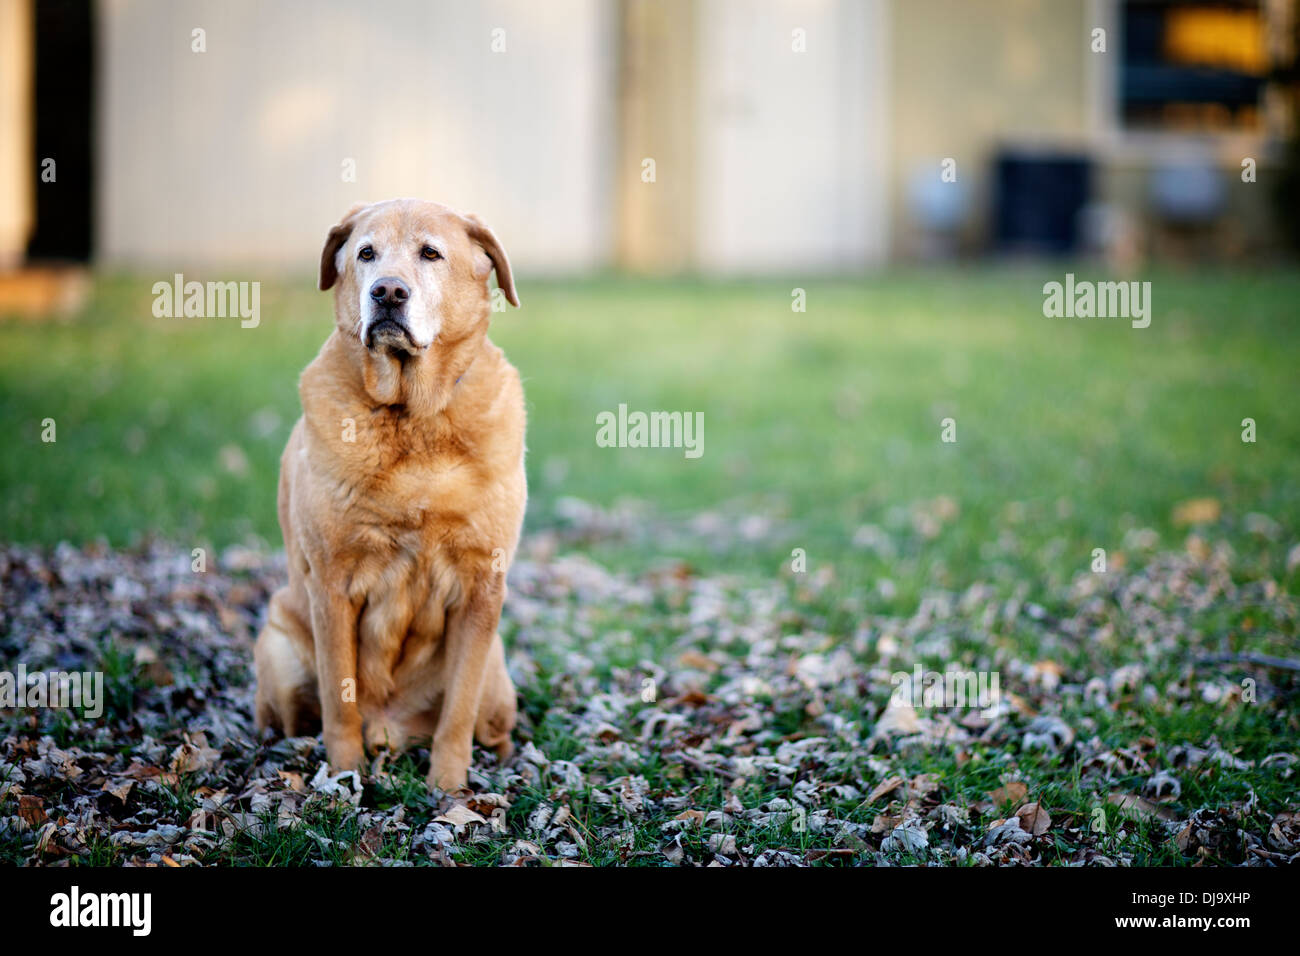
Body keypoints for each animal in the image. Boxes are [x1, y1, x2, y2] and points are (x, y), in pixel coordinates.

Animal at [253, 196, 522, 790]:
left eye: (431, 253)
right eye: (366, 253)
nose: (388, 292)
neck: (413, 417)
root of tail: (393, 731)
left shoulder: (481, 589)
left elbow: (458, 710)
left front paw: (448, 789)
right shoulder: (331, 583)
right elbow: (340, 699)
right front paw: (343, 779)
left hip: (497, 680)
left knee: (491, 727)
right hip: (279, 647)